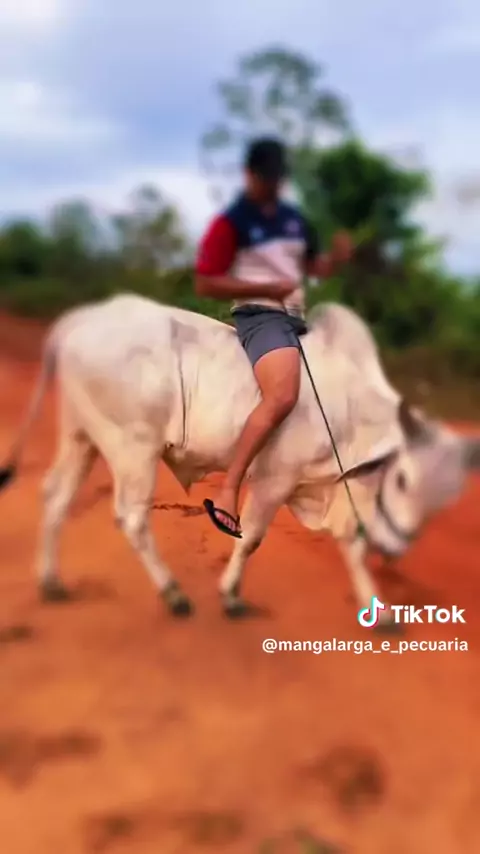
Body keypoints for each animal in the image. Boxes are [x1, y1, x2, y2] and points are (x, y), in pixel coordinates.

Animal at [1, 293, 479, 627]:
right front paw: (231, 596)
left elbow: (354, 547)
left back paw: (52, 582)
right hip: (132, 445)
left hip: (81, 436)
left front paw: (379, 614)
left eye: (446, 496)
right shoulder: (276, 478)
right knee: (131, 517)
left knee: (56, 494)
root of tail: (80, 319)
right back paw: (174, 594)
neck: (353, 411)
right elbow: (251, 539)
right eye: (402, 479)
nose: (397, 548)